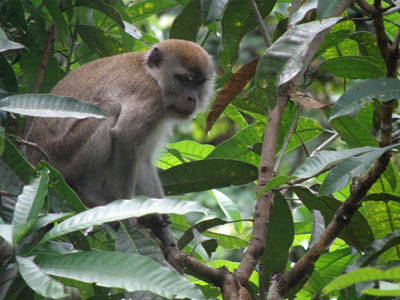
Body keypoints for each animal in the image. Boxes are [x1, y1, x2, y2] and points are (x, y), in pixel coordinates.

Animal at [26, 39, 214, 251]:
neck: (154, 77)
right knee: (109, 106)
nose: (192, 98)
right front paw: (126, 216)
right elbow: (126, 139)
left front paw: (163, 231)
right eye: (184, 80)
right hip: (61, 156)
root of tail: (32, 160)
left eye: (198, 83)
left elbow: (142, 161)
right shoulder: (150, 97)